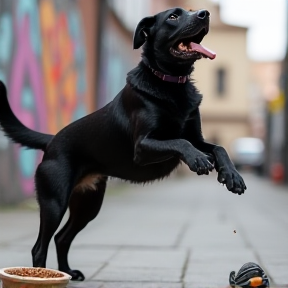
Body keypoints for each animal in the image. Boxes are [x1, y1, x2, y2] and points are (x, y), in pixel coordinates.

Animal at [0, 7, 246, 280]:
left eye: (193, 12)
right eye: (173, 17)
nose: (204, 13)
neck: (170, 83)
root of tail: (52, 140)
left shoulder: (197, 138)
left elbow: (218, 147)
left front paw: (232, 176)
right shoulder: (144, 147)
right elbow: (180, 141)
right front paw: (198, 160)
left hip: (88, 204)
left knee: (62, 238)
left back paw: (68, 272)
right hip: (55, 201)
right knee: (39, 247)